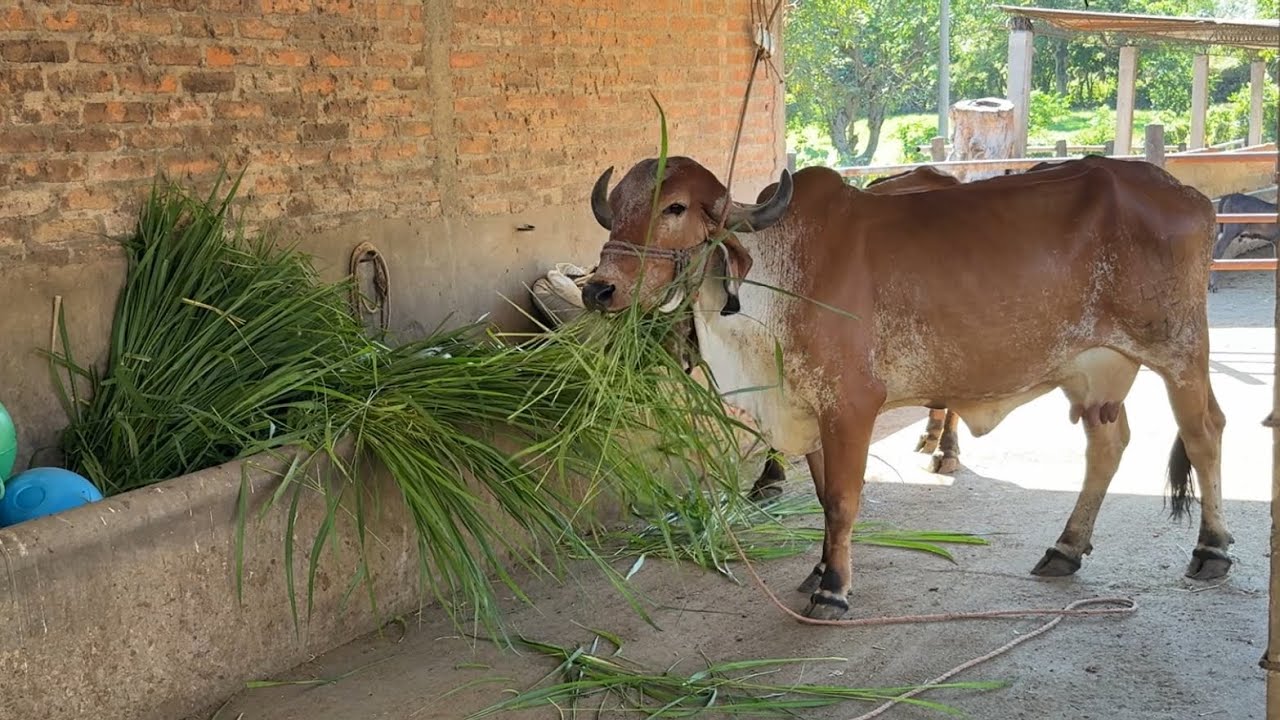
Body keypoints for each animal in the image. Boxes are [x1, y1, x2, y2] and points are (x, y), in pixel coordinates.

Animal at [581, 153, 1231, 620]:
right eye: (615, 208)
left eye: (675, 206)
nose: (599, 288)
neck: (777, 277)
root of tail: (1188, 195)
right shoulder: (808, 406)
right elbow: (824, 497)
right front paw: (819, 570)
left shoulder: (851, 406)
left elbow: (845, 500)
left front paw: (833, 590)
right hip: (1094, 370)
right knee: (1108, 444)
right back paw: (1064, 548)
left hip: (1180, 351)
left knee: (1204, 433)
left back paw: (1212, 550)